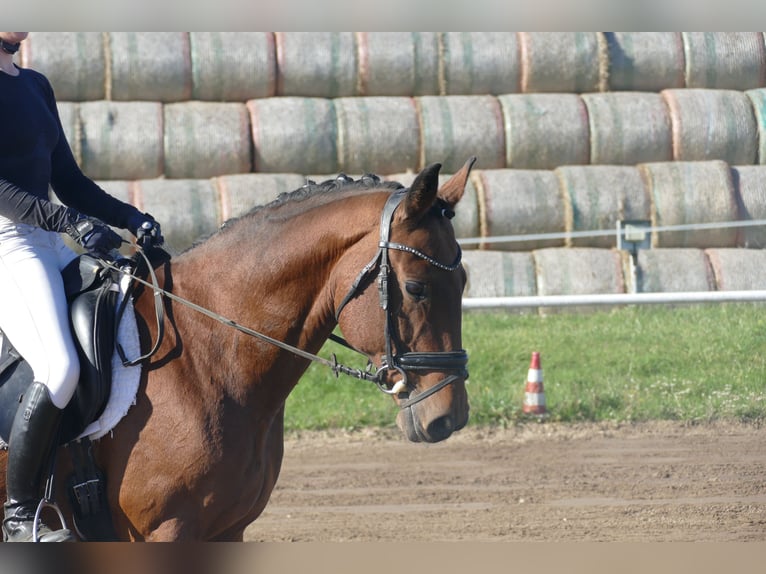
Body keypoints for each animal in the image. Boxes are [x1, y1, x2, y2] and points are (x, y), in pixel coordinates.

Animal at [0, 157, 475, 541]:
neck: (207, 354)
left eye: (465, 280)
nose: (448, 417)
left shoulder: (228, 530)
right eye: (415, 287)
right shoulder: (165, 531)